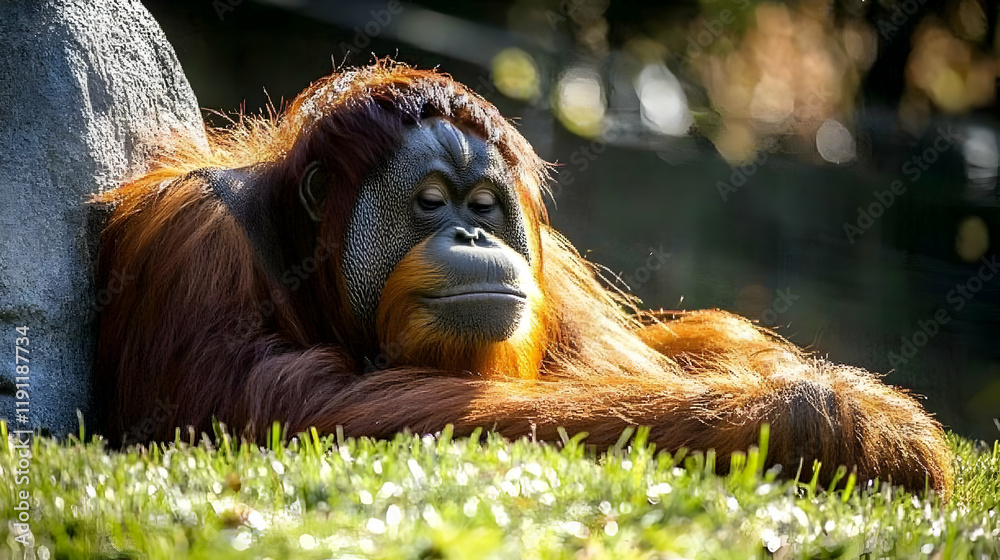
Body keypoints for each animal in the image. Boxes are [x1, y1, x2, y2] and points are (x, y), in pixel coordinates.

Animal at [92, 61, 953, 497]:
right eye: (429, 202)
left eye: (481, 204)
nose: (472, 232)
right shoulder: (195, 239)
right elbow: (288, 407)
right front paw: (826, 417)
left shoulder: (550, 267)